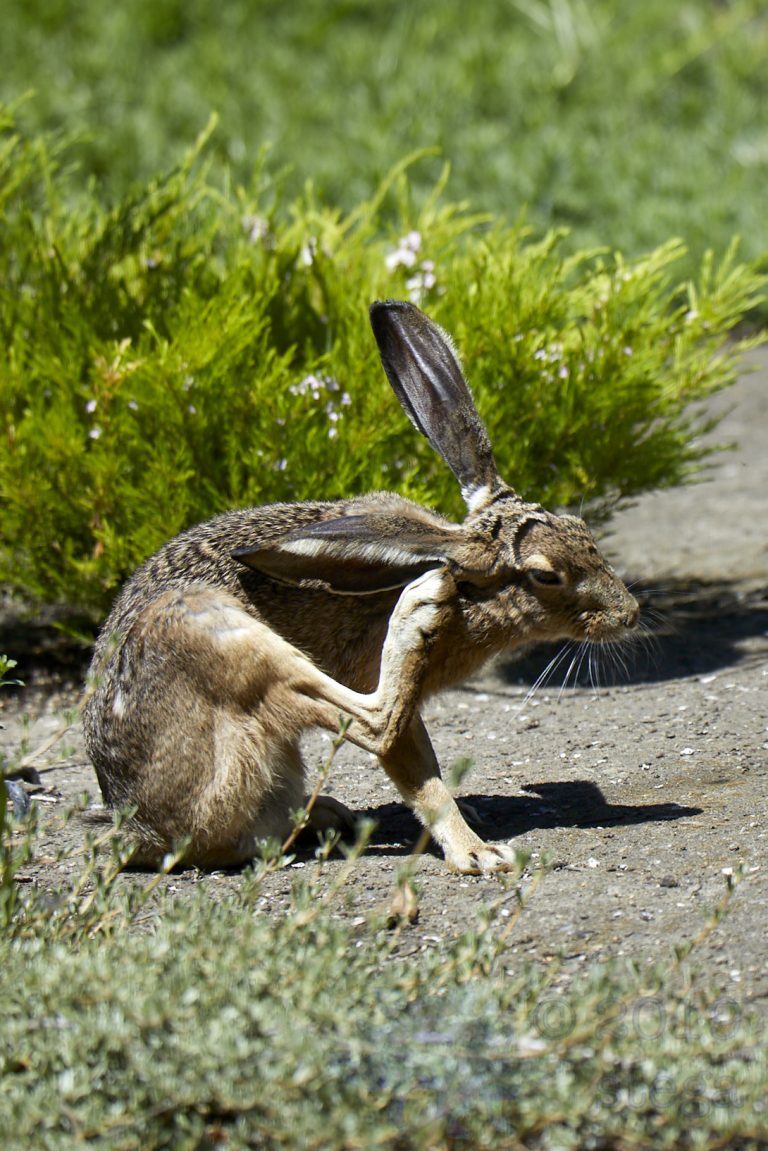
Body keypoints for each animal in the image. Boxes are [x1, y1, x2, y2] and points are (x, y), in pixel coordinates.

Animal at [83, 300, 640, 873]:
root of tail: (143, 833)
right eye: (546, 574)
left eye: (582, 529)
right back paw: (415, 611)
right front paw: (476, 852)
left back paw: (327, 813)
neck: (465, 584)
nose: (630, 614)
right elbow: (411, 767)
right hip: (217, 636)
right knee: (371, 721)